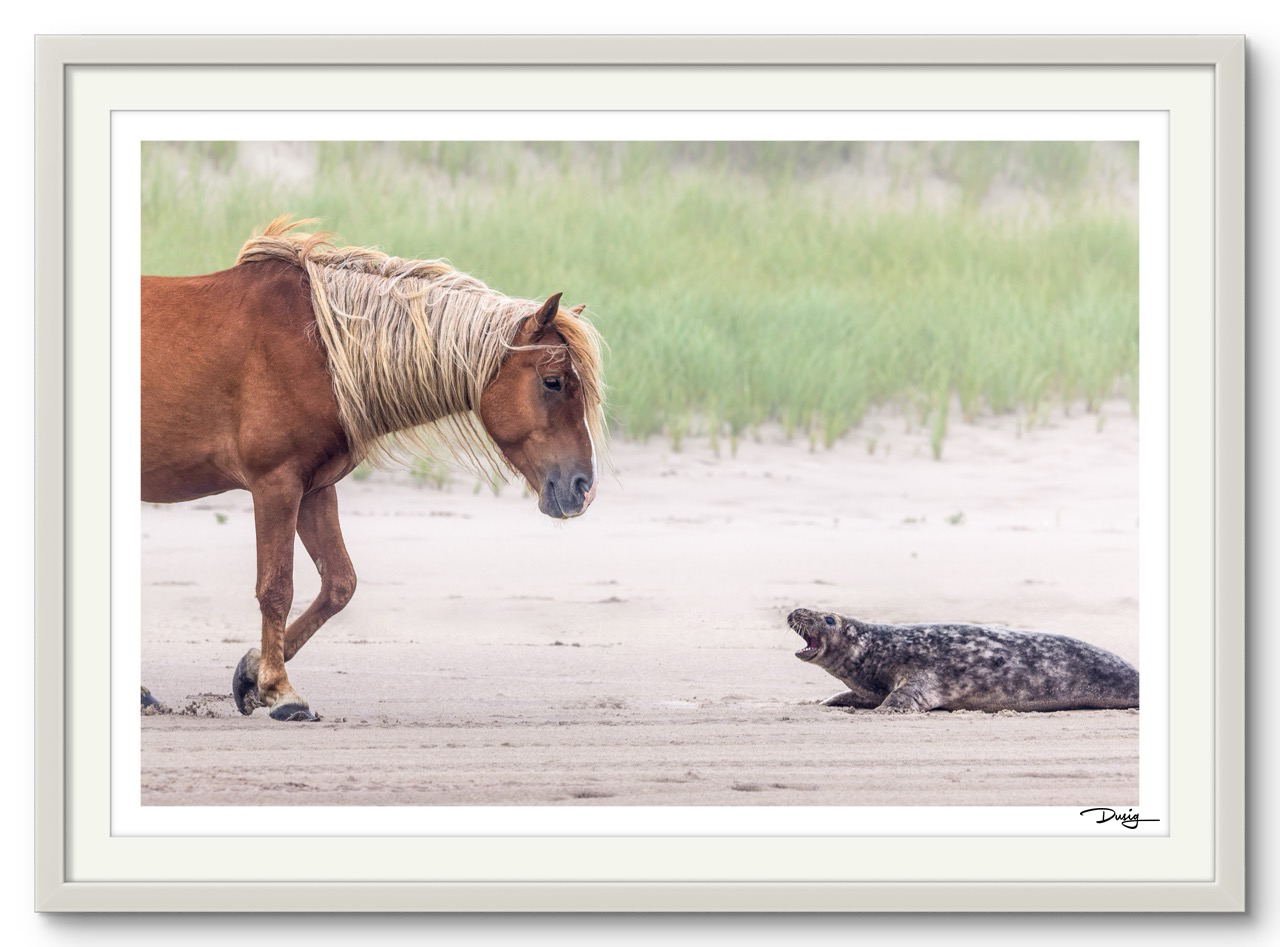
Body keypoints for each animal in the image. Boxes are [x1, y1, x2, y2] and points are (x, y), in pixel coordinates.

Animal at [142, 220, 606, 726]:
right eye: (552, 382)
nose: (582, 488)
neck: (318, 346)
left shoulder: (314, 489)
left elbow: (339, 585)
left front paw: (250, 673)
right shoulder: (275, 485)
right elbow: (277, 588)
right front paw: (280, 690)